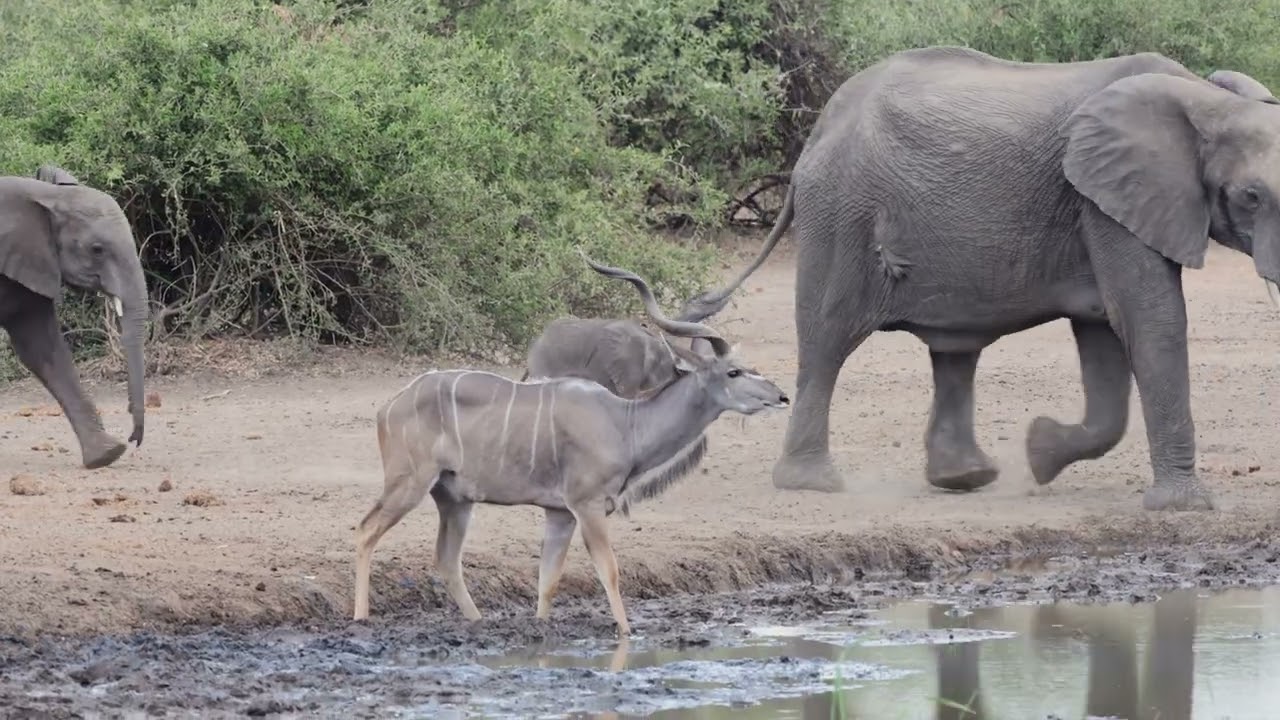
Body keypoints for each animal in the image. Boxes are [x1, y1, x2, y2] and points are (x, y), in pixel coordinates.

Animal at [685, 47, 1280, 511]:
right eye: (1251, 197)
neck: (1207, 99)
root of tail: (820, 127)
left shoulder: (1101, 205)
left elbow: (1104, 331)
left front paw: (1040, 453)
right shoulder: (1103, 200)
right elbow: (1150, 320)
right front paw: (1182, 508)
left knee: (954, 351)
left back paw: (965, 478)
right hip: (839, 216)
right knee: (827, 341)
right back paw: (814, 484)